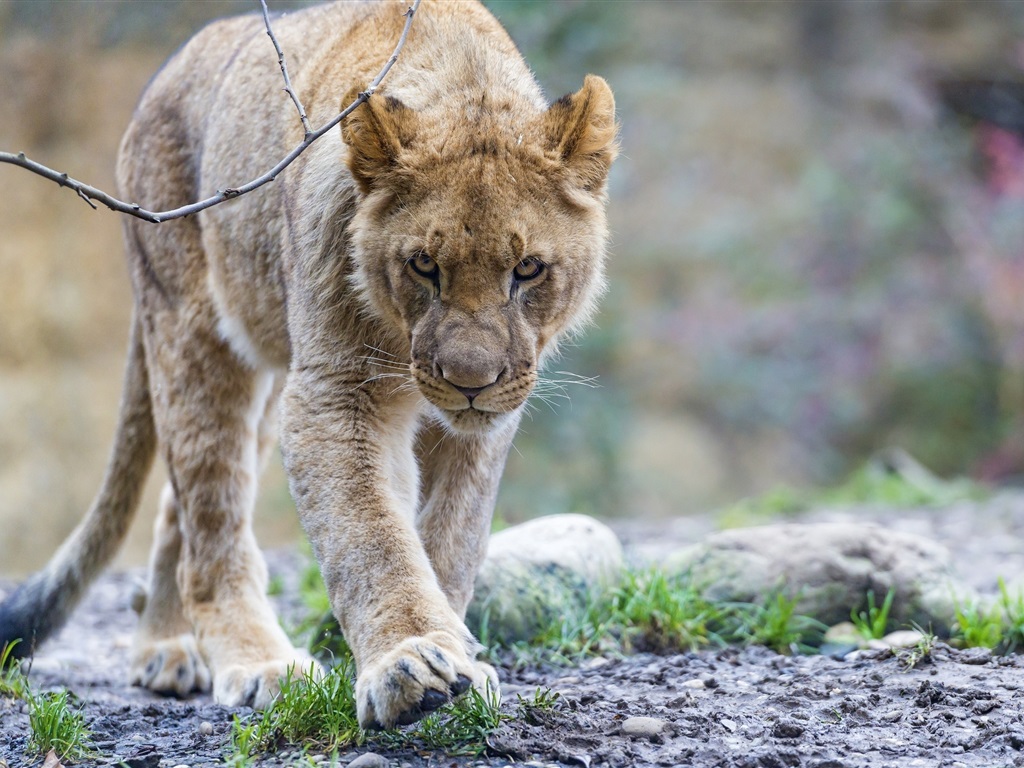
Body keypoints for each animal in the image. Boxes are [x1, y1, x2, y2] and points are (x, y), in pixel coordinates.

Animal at [0, 0, 614, 733]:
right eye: (423, 265)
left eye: (528, 269)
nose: (470, 384)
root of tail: (167, 73)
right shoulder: (333, 393)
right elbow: (371, 535)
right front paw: (410, 660)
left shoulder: (479, 425)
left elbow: (450, 539)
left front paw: (459, 657)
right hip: (194, 336)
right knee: (211, 514)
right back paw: (258, 664)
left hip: (266, 380)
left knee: (178, 507)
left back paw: (166, 646)